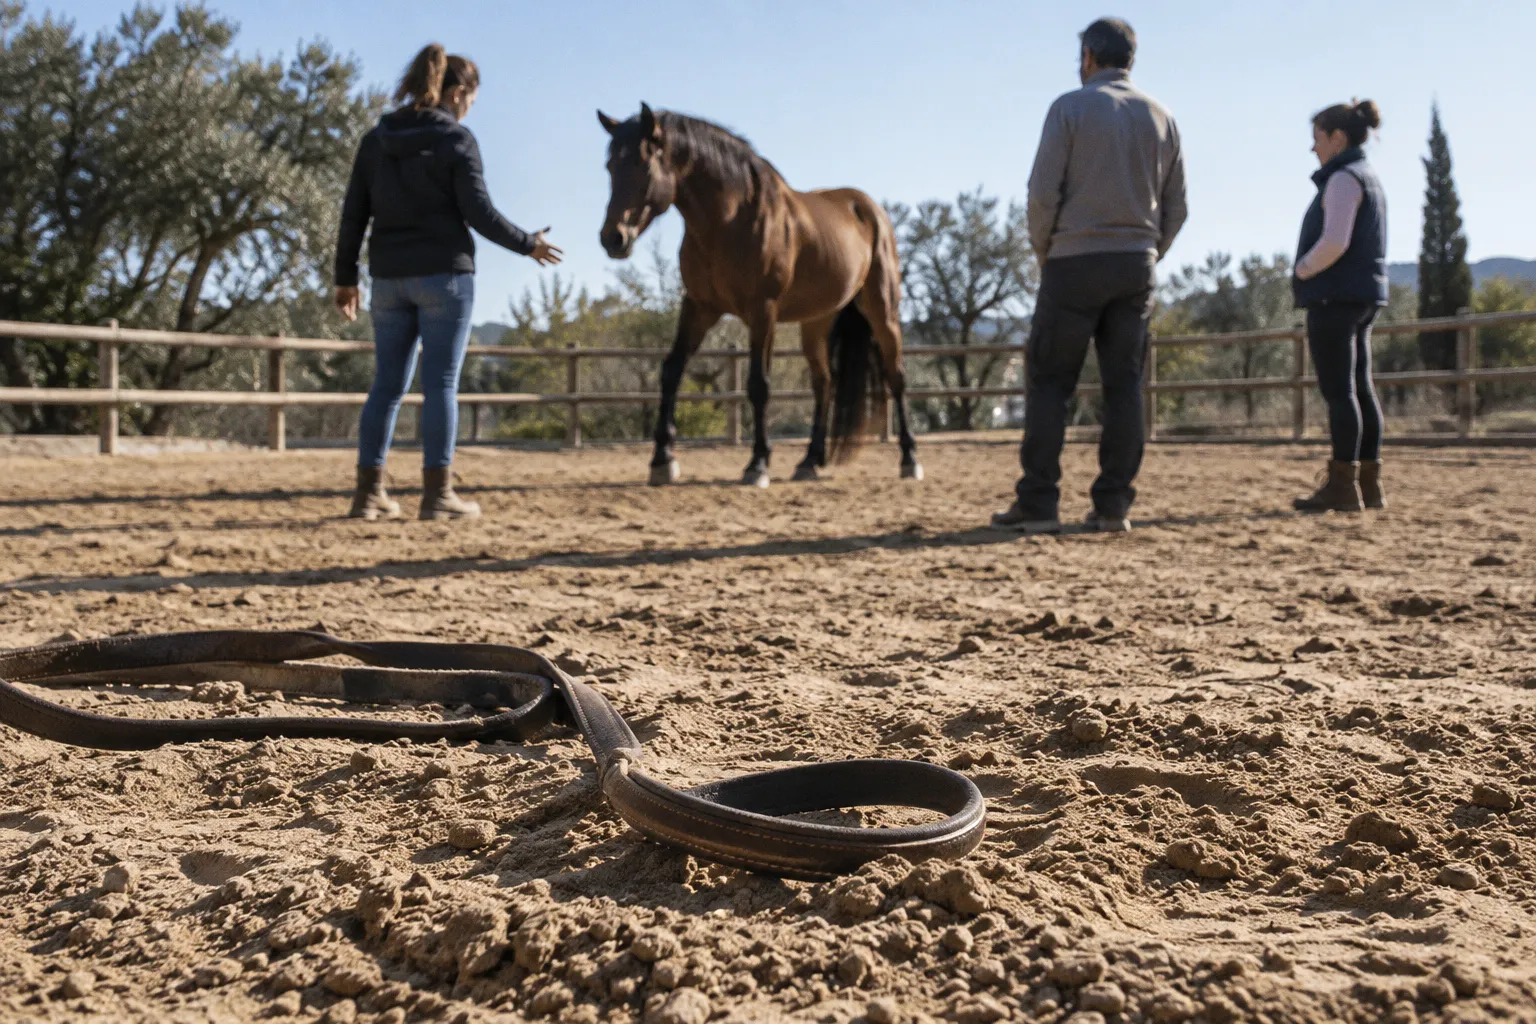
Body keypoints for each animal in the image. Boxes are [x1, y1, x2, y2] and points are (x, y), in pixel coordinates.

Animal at [596, 103, 922, 488]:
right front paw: (662, 460)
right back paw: (810, 461)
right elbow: (671, 371)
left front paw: (758, 464)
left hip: (882, 311)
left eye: (643, 164)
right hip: (816, 322)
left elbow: (758, 384)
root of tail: (869, 209)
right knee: (823, 384)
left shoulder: (762, 311)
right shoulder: (699, 307)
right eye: (610, 166)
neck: (731, 220)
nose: (613, 238)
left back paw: (909, 458)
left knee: (896, 376)